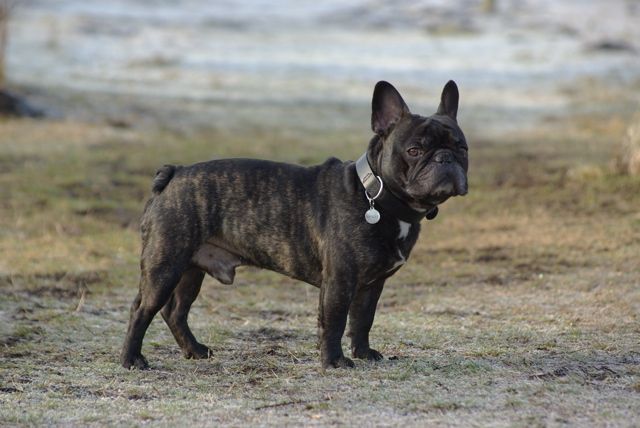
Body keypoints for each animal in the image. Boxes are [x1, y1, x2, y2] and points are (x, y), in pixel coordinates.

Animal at [122, 80, 468, 368]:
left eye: (462, 148)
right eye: (415, 150)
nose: (445, 158)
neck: (376, 195)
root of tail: (175, 173)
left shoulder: (372, 285)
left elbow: (362, 320)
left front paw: (364, 354)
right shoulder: (340, 280)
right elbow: (334, 321)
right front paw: (334, 362)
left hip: (191, 268)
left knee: (175, 311)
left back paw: (194, 350)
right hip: (166, 263)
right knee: (142, 308)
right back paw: (132, 359)